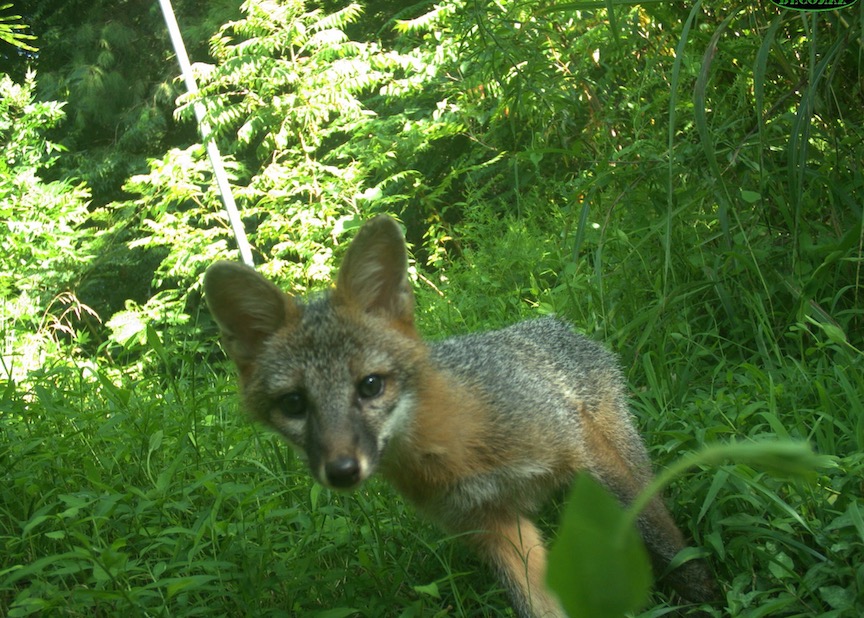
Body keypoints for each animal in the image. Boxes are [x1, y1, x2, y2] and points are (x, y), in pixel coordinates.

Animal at [202, 214, 716, 612]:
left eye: (370, 385)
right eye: (294, 404)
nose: (342, 470)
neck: (458, 450)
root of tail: (548, 323)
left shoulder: (580, 452)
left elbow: (663, 540)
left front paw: (706, 592)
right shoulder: (492, 528)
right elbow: (538, 605)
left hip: (619, 454)